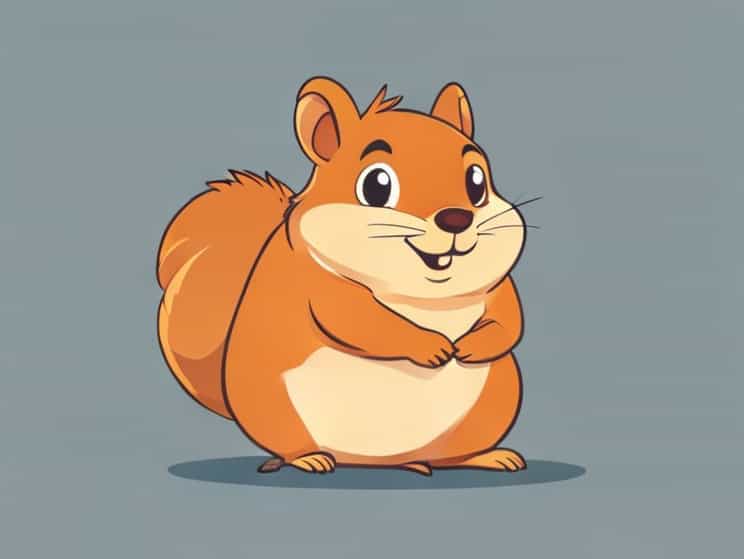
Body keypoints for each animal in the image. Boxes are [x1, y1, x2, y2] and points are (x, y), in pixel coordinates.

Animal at [156, 77, 529, 476]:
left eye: (477, 182)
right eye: (377, 185)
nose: (456, 218)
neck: (421, 292)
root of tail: (371, 460)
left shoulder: (499, 287)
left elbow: (509, 321)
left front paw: (473, 345)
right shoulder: (319, 287)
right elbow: (362, 322)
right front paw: (432, 346)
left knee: (449, 455)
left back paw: (481, 457)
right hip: (272, 406)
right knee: (290, 445)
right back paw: (309, 458)